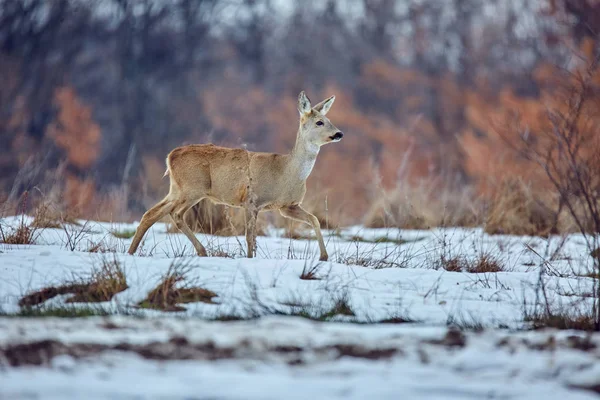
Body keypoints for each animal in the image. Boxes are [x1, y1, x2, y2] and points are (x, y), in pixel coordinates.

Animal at [126, 90, 342, 260]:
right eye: (320, 122)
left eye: (330, 120)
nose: (339, 133)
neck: (287, 172)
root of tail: (170, 156)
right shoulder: (251, 200)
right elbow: (249, 236)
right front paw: (249, 258)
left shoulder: (287, 206)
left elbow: (314, 219)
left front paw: (324, 257)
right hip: (192, 188)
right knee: (175, 213)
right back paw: (201, 251)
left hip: (177, 188)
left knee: (152, 213)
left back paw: (132, 251)